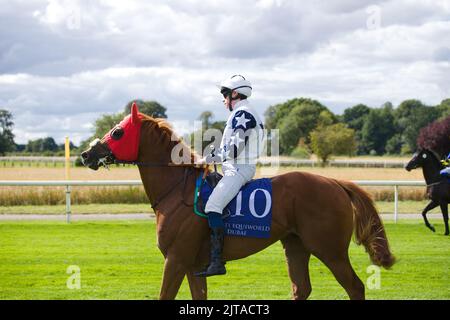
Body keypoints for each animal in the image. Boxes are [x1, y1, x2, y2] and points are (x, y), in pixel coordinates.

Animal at [80, 104, 394, 300]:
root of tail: (335, 183)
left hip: (330, 250)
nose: (85, 154)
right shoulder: (193, 265)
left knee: (355, 287)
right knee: (301, 288)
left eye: (117, 132)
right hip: (296, 247)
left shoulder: (176, 259)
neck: (176, 191)